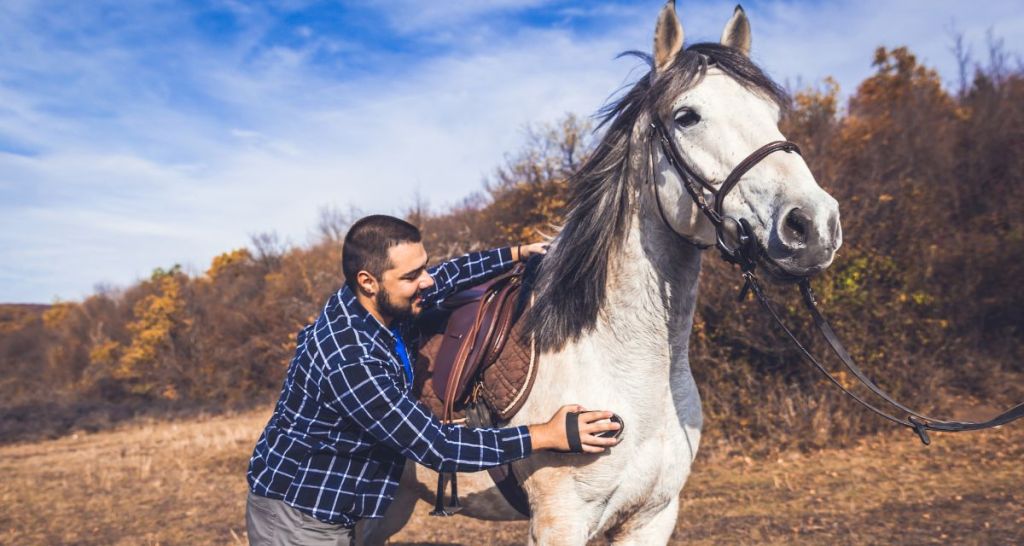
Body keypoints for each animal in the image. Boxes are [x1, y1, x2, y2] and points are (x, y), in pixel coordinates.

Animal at [359, 2, 842, 544]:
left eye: (771, 114)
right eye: (687, 116)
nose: (812, 224)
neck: (626, 365)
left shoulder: (652, 516)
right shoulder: (560, 520)